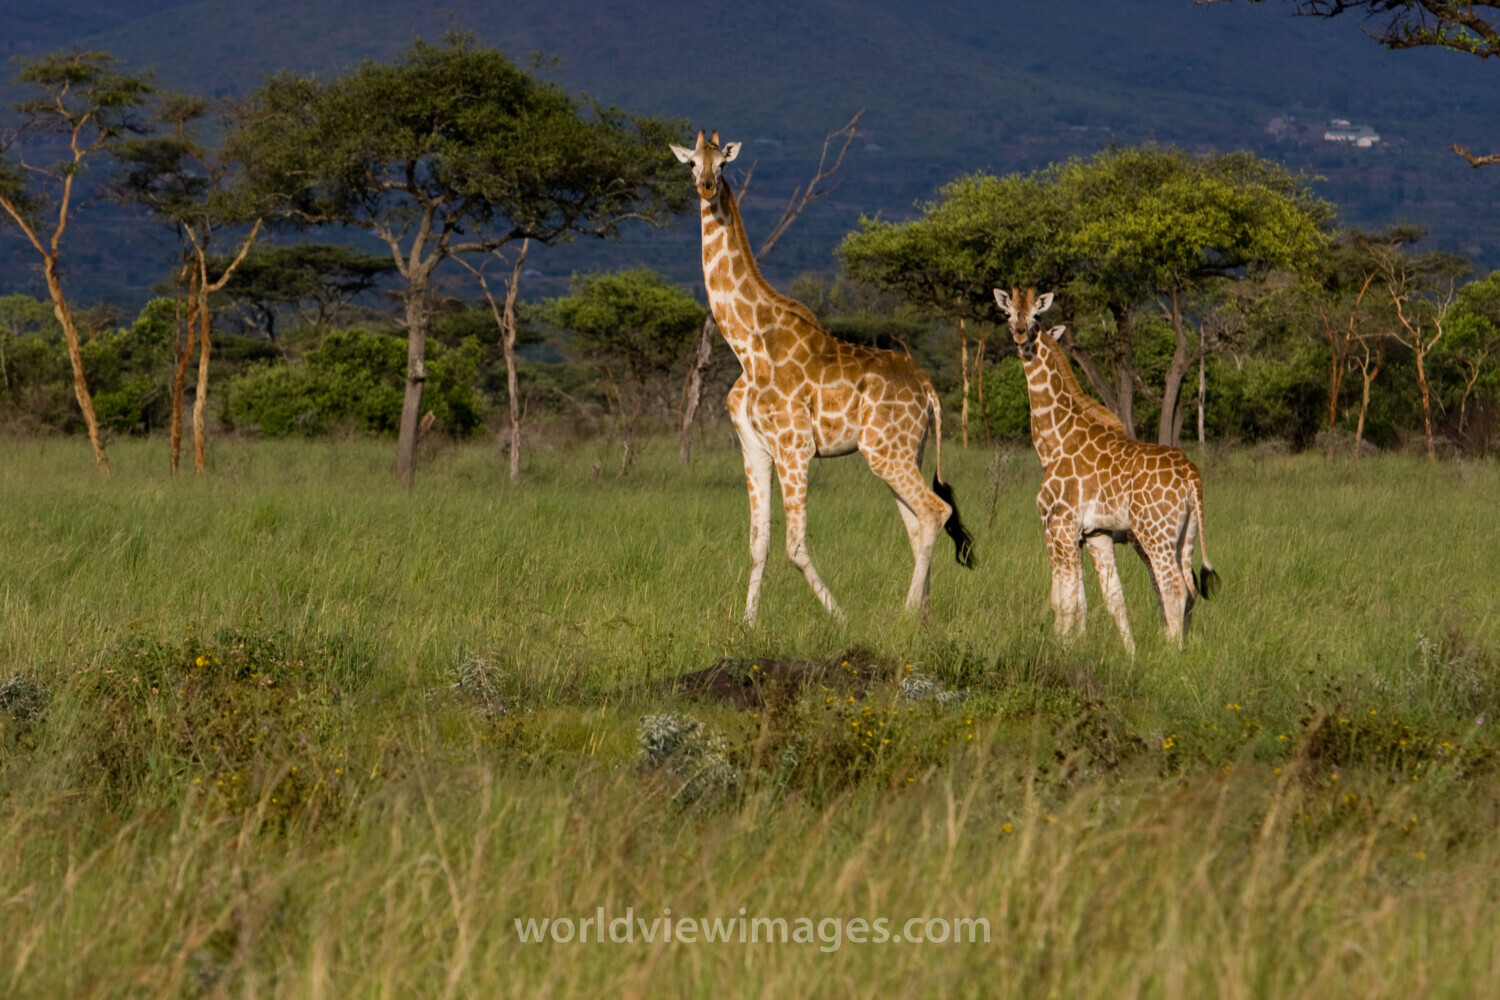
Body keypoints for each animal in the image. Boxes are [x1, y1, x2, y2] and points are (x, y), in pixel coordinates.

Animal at [670, 130, 974, 623]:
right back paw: (923, 617)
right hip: (907, 451)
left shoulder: (794, 447)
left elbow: (795, 546)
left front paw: (842, 619)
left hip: (886, 452)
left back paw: (907, 614)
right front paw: (748, 624)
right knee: (918, 523)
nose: (706, 187)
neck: (746, 343)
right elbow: (759, 542)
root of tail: (928, 388)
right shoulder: (755, 448)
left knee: (934, 512)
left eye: (724, 164)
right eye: (691, 163)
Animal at [993, 287, 1218, 652]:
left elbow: (1065, 599)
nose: (1021, 334)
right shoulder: (1094, 533)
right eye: (1008, 313)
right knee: (1188, 589)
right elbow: (1106, 599)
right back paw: (1177, 648)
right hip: (1185, 535)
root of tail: (1191, 475)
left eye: (1037, 316)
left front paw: (1064, 648)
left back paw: (1168, 654)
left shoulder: (1059, 525)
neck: (1055, 440)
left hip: (1154, 533)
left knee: (1173, 589)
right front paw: (1123, 653)